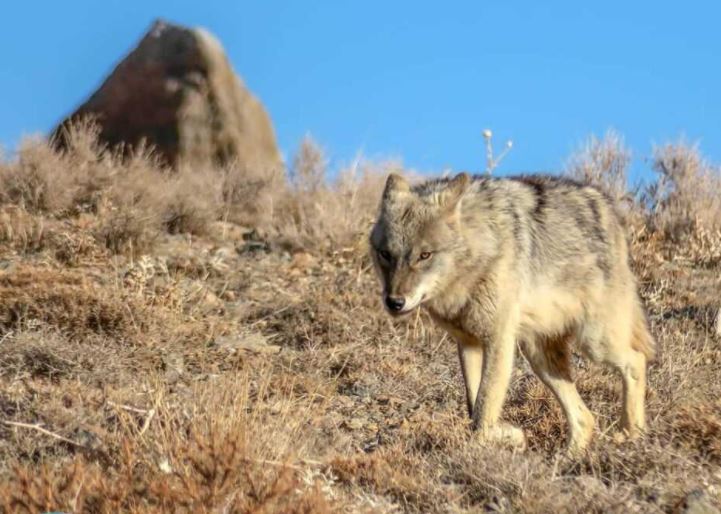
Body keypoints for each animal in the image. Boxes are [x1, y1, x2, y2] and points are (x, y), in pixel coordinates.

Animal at [368, 172, 656, 452]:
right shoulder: (468, 343)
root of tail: (608, 208)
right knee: (585, 417)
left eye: (425, 255)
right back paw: (569, 457)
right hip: (540, 357)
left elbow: (483, 412)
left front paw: (504, 438)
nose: (394, 302)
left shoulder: (499, 340)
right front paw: (508, 435)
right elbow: (474, 405)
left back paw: (632, 432)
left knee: (636, 361)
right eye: (386, 254)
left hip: (594, 343)